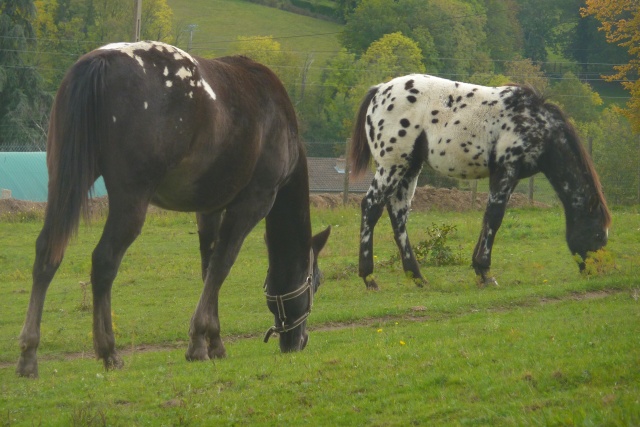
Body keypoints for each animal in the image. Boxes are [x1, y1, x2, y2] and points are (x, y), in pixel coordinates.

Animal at [16, 41, 330, 378]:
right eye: (316, 281)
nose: (299, 341)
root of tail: (102, 60)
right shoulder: (252, 203)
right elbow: (221, 266)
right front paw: (198, 342)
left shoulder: (209, 209)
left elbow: (208, 268)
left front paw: (212, 342)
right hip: (130, 200)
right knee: (104, 261)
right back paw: (108, 351)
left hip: (63, 183)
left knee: (47, 253)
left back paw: (29, 354)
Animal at [350, 75, 608, 292]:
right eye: (598, 235)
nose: (597, 272)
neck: (536, 124)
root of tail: (379, 90)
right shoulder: (506, 171)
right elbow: (495, 216)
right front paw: (485, 272)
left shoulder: (510, 177)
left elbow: (490, 217)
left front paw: (479, 268)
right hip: (391, 166)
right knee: (371, 206)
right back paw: (369, 278)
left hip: (409, 168)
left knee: (398, 214)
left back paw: (417, 277)